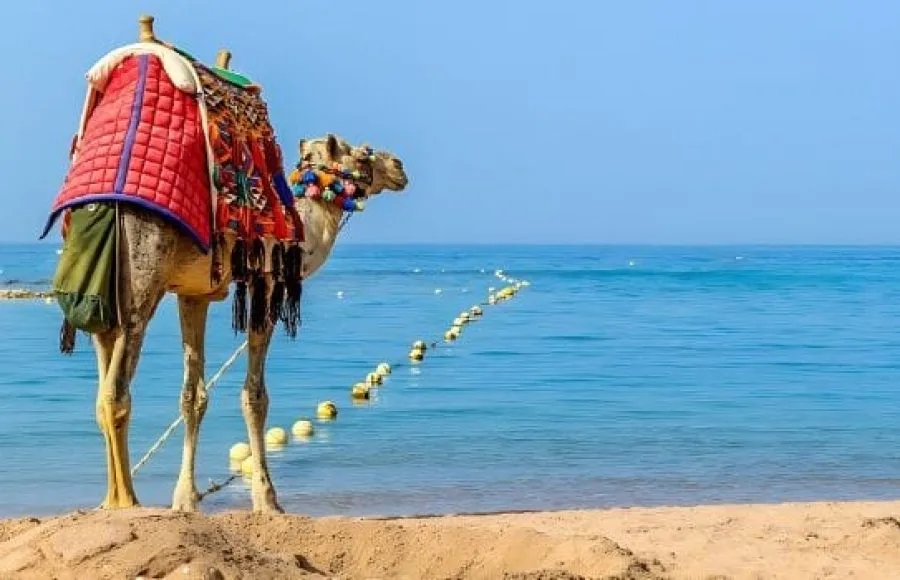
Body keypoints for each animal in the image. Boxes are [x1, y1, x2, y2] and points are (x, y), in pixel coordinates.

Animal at [47, 17, 409, 514]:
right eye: (360, 153)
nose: (399, 165)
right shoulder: (267, 282)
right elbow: (255, 395)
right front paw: (268, 500)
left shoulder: (193, 293)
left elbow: (192, 396)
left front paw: (185, 499)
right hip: (140, 276)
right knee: (116, 391)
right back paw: (127, 501)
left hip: (102, 292)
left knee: (102, 389)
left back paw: (112, 499)